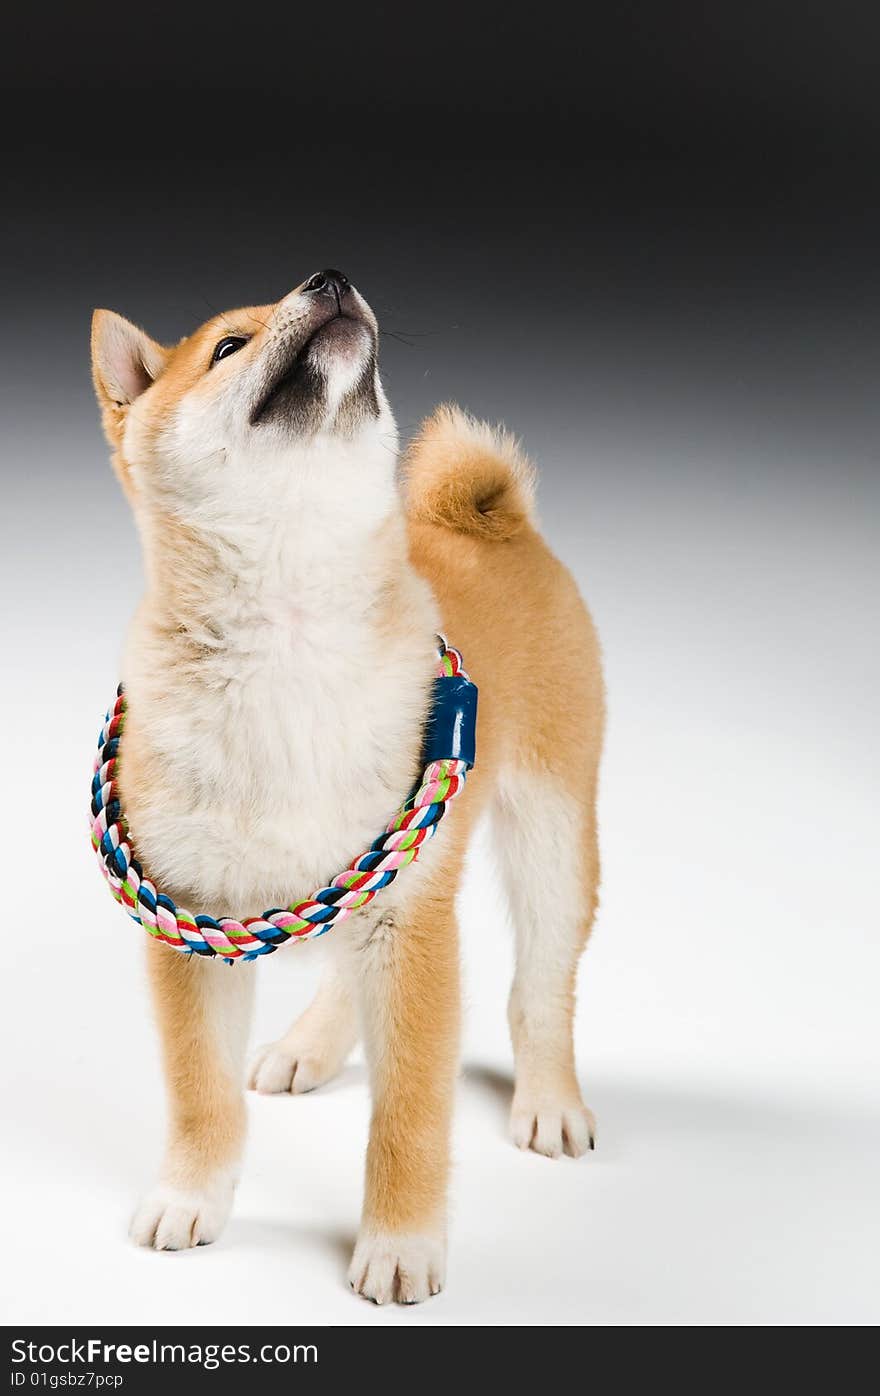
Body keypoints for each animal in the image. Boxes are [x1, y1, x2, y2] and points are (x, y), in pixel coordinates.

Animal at [92, 272, 606, 1306]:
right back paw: (311, 1046)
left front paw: (400, 1243)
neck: (287, 638)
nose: (328, 279)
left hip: (550, 839)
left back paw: (548, 1099)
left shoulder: (412, 925)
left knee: (539, 991)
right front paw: (191, 1194)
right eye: (229, 346)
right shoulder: (189, 922)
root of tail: (493, 518)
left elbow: (407, 1116)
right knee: (338, 960)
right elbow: (199, 1095)